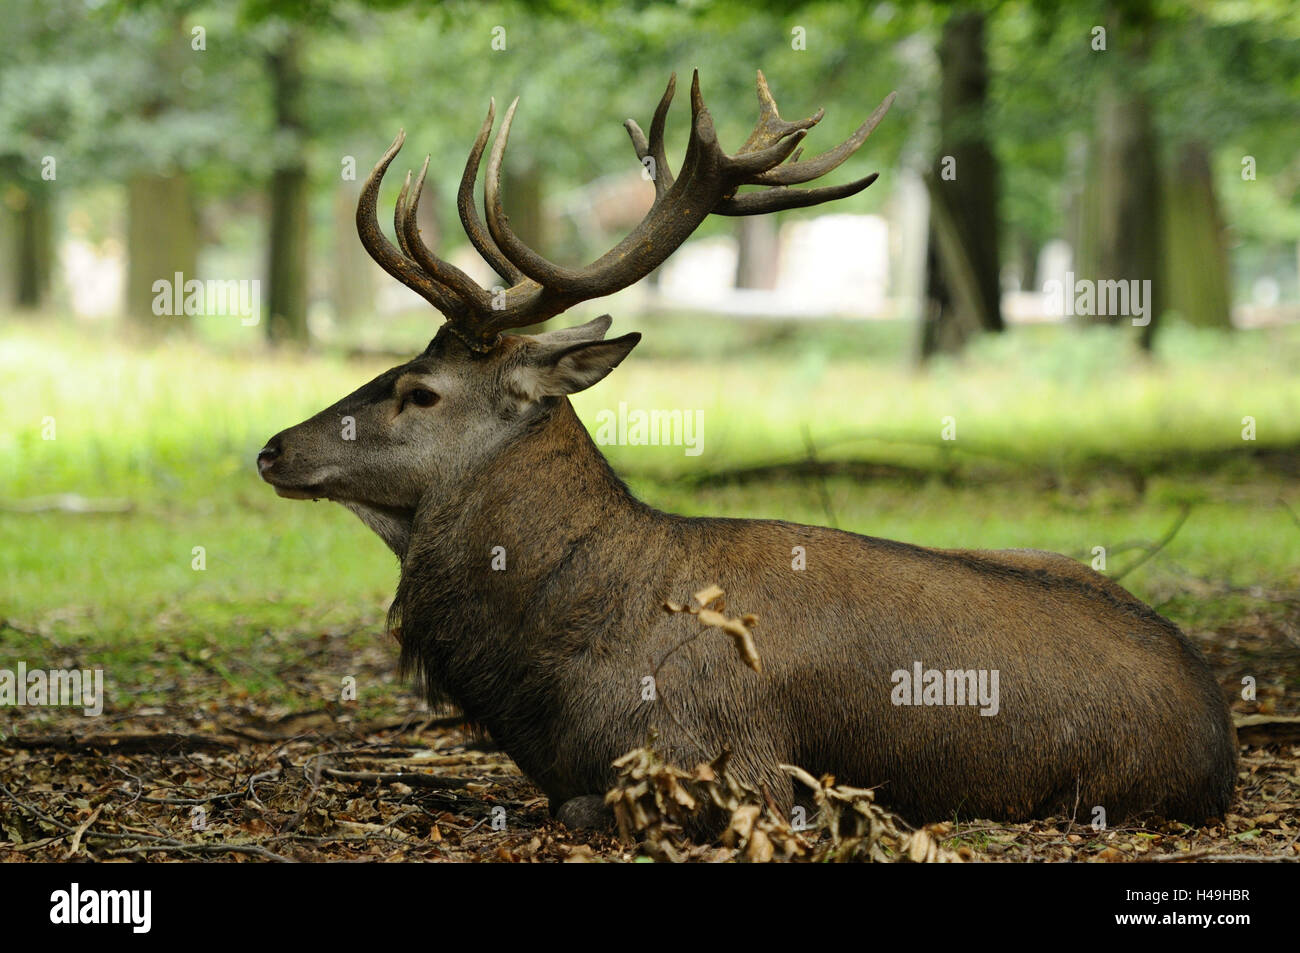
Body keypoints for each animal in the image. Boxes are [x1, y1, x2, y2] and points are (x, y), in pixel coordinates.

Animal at [256, 72, 1237, 832]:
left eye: (419, 390)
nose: (271, 449)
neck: (542, 667)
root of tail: (1222, 733)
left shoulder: (731, 766)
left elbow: (578, 807)